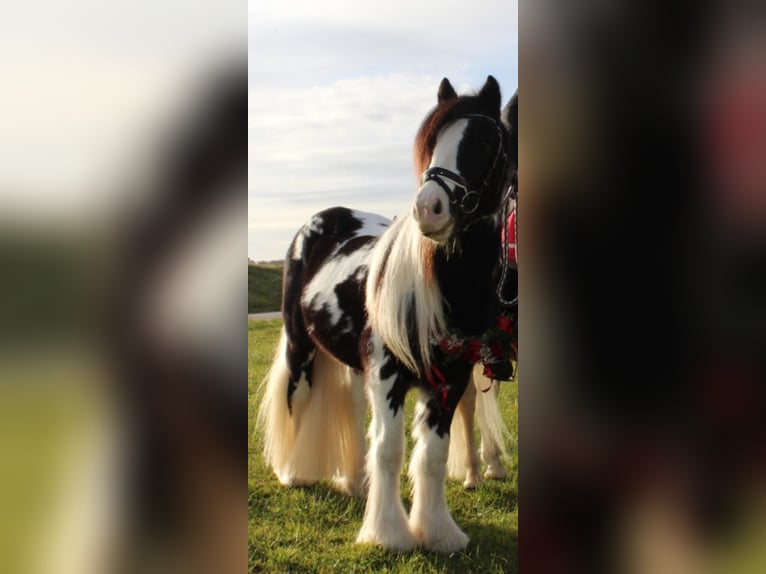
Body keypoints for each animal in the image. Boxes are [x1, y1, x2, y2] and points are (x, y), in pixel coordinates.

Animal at [260, 75, 520, 552]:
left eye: (485, 139)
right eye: (431, 142)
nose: (428, 208)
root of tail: (319, 221)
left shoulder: (450, 379)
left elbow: (432, 455)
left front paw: (438, 532)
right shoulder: (388, 373)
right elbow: (390, 449)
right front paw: (388, 535)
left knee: (350, 405)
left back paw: (354, 481)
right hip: (300, 345)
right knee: (298, 397)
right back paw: (294, 473)